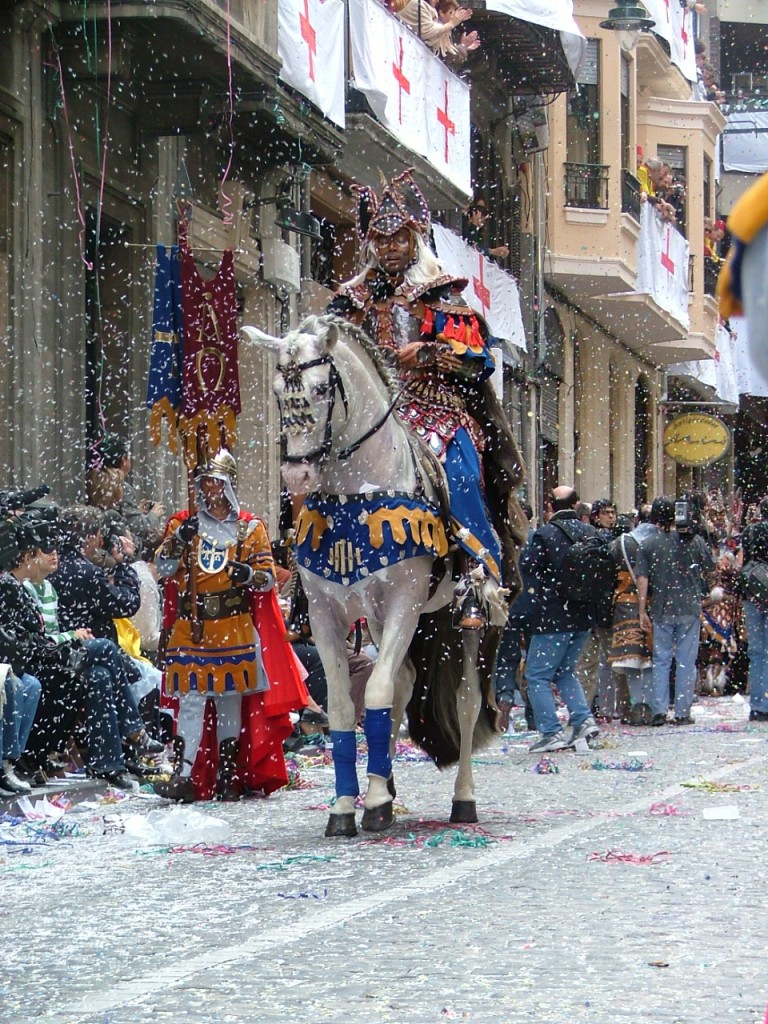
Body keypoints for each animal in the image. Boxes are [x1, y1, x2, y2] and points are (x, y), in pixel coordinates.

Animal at [243, 315, 528, 835]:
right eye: (276, 391)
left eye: (321, 388)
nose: (296, 477)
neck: (357, 493)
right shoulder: (327, 613)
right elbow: (344, 704)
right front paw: (347, 805)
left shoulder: (403, 603)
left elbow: (374, 689)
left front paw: (372, 801)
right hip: (384, 620)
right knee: (405, 682)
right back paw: (388, 782)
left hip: (462, 620)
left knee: (465, 699)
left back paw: (462, 800)